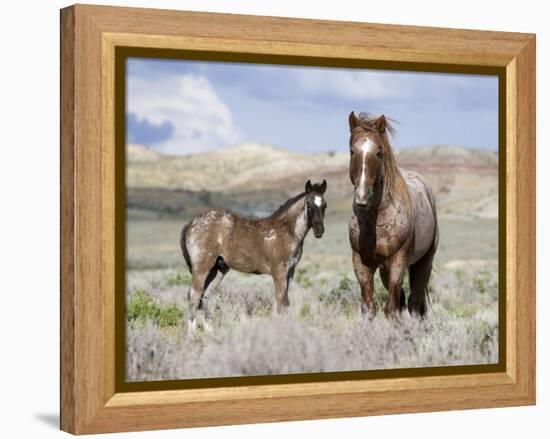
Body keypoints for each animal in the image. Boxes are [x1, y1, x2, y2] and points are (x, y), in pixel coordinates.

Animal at [181, 180, 328, 330]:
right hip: (202, 268)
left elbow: (285, 302)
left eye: (324, 205)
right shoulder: (279, 272)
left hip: (218, 269)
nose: (319, 231)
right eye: (309, 205)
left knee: (205, 296)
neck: (288, 230)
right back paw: (192, 334)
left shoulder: (290, 272)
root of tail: (190, 224)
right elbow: (281, 301)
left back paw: (210, 332)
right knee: (194, 296)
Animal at [350, 112, 440, 320]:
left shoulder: (397, 262)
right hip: (385, 270)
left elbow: (391, 309)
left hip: (424, 263)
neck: (375, 221)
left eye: (378, 153)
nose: (362, 197)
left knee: (414, 303)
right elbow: (369, 308)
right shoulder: (361, 263)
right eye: (352, 151)